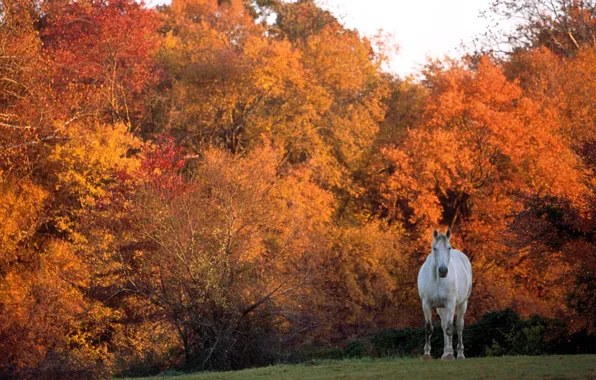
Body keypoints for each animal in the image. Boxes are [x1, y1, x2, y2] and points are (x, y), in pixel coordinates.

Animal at [416, 227, 472, 360]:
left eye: (449, 248)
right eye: (434, 248)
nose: (443, 270)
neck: (437, 279)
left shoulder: (450, 303)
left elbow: (450, 328)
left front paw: (451, 354)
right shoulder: (426, 304)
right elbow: (429, 328)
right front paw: (427, 354)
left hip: (462, 303)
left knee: (459, 326)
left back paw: (459, 354)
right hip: (441, 307)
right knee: (443, 325)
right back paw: (445, 353)